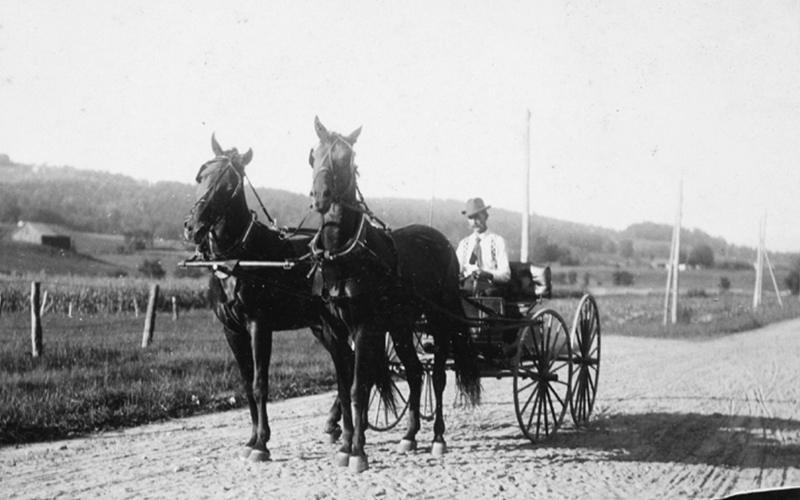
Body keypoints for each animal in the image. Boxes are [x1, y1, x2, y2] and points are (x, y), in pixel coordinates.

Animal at [186, 136, 352, 460]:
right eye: (201, 176)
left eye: (228, 185)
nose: (193, 227)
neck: (238, 260)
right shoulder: (232, 331)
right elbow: (246, 384)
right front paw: (251, 439)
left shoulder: (259, 326)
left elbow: (260, 383)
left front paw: (262, 443)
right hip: (322, 326)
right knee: (347, 364)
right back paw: (333, 423)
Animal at [310, 117, 478, 472]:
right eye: (313, 155)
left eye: (348, 159)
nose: (321, 196)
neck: (342, 256)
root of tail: (441, 240)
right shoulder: (335, 331)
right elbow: (344, 389)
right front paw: (345, 446)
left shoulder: (365, 328)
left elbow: (359, 388)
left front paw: (359, 452)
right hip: (401, 326)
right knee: (415, 373)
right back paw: (410, 435)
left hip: (439, 320)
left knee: (437, 376)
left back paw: (437, 438)